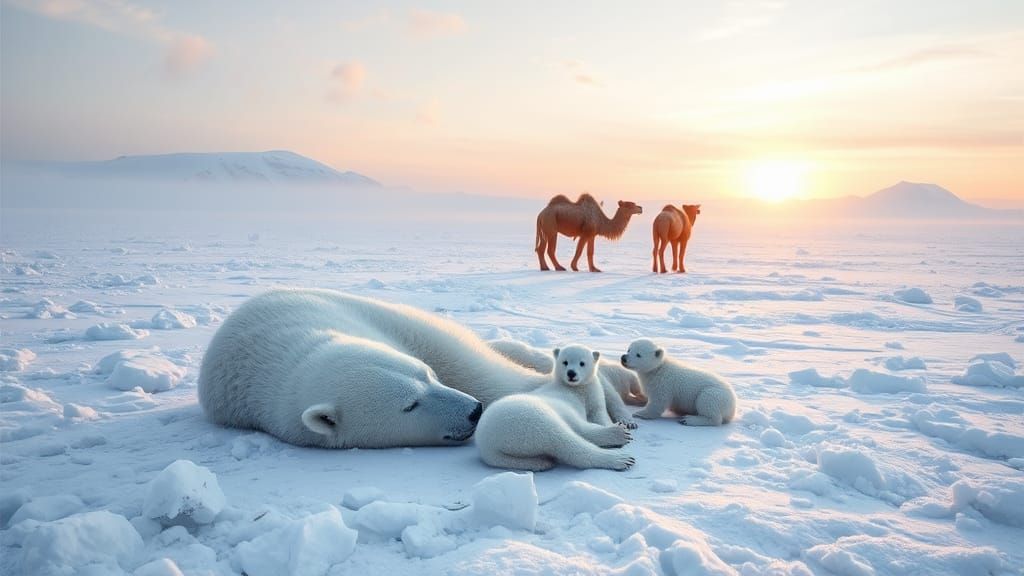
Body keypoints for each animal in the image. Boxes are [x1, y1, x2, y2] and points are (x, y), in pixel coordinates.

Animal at [475, 344, 635, 471]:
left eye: (582, 363)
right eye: (565, 362)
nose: (571, 373)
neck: (574, 389)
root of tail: (486, 444)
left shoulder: (591, 394)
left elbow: (598, 412)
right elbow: (589, 418)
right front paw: (619, 429)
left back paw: (544, 462)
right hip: (528, 421)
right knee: (565, 440)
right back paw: (620, 453)